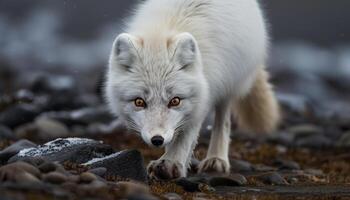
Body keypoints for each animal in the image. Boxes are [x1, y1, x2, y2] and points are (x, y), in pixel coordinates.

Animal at [105, 0, 280, 179]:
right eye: (139, 102)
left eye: (175, 101)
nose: (157, 140)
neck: (163, 31)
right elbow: (176, 133)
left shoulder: (202, 98)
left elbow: (185, 136)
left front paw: (170, 163)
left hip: (228, 83)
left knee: (223, 122)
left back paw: (216, 159)